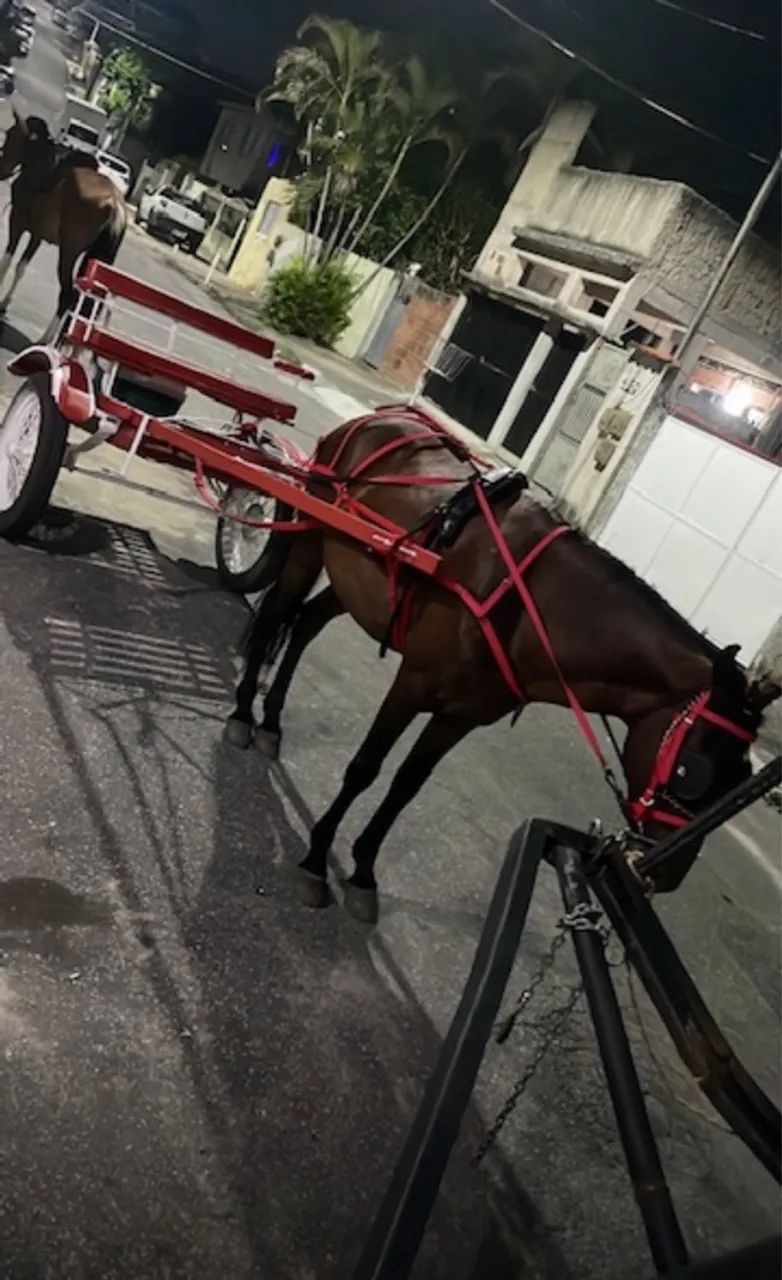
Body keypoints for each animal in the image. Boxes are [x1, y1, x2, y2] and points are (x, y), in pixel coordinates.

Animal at [0, 110, 126, 332]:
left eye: (10, 134)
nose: (2, 170)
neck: (40, 167)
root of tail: (114, 202)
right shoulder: (37, 235)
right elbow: (21, 267)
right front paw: (5, 303)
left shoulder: (17, 222)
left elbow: (6, 261)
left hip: (68, 253)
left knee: (69, 295)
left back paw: (46, 338)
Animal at [225, 409, 780, 923]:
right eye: (695, 770)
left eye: (739, 778)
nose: (666, 873)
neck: (525, 600)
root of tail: (378, 417)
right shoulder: (413, 683)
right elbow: (365, 767)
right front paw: (317, 857)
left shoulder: (463, 714)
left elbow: (405, 787)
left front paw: (362, 870)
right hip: (310, 536)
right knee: (277, 615)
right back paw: (243, 714)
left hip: (357, 580)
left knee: (304, 624)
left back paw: (271, 721)